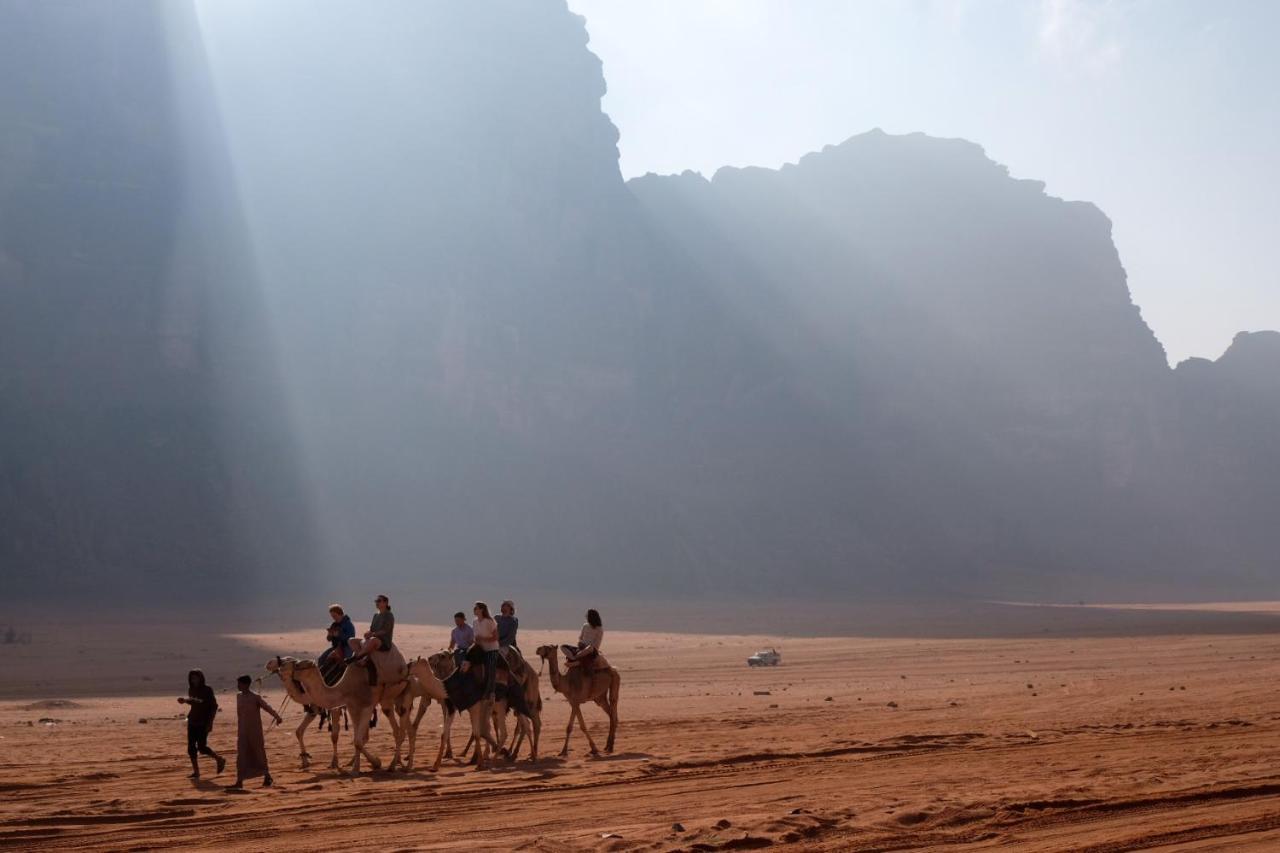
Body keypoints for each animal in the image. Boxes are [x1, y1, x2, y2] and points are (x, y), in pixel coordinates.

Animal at [264, 653, 409, 773]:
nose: (269, 663)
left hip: (390, 697)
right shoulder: (350, 706)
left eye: (293, 663)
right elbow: (356, 739)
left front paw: (370, 764)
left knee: (398, 730)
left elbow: (343, 737)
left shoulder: (362, 706)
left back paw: (395, 763)